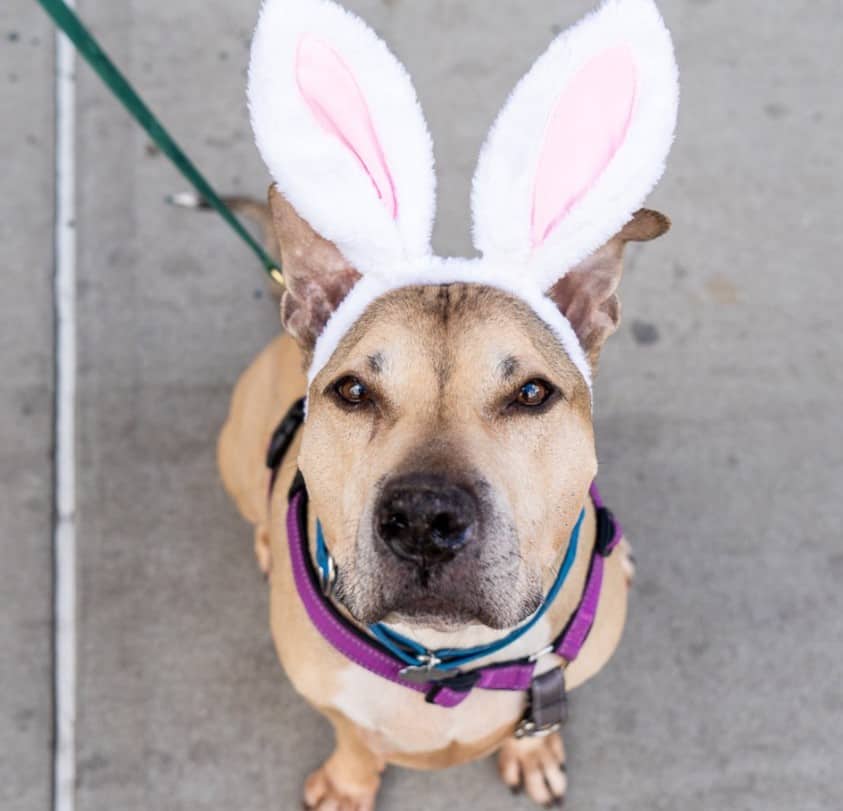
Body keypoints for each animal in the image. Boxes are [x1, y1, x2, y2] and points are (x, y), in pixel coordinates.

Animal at [218, 0, 680, 804]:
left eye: (531, 392)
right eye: (352, 391)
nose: (423, 521)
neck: (447, 657)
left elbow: (545, 717)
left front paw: (532, 752)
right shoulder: (327, 693)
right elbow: (351, 732)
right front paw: (350, 780)